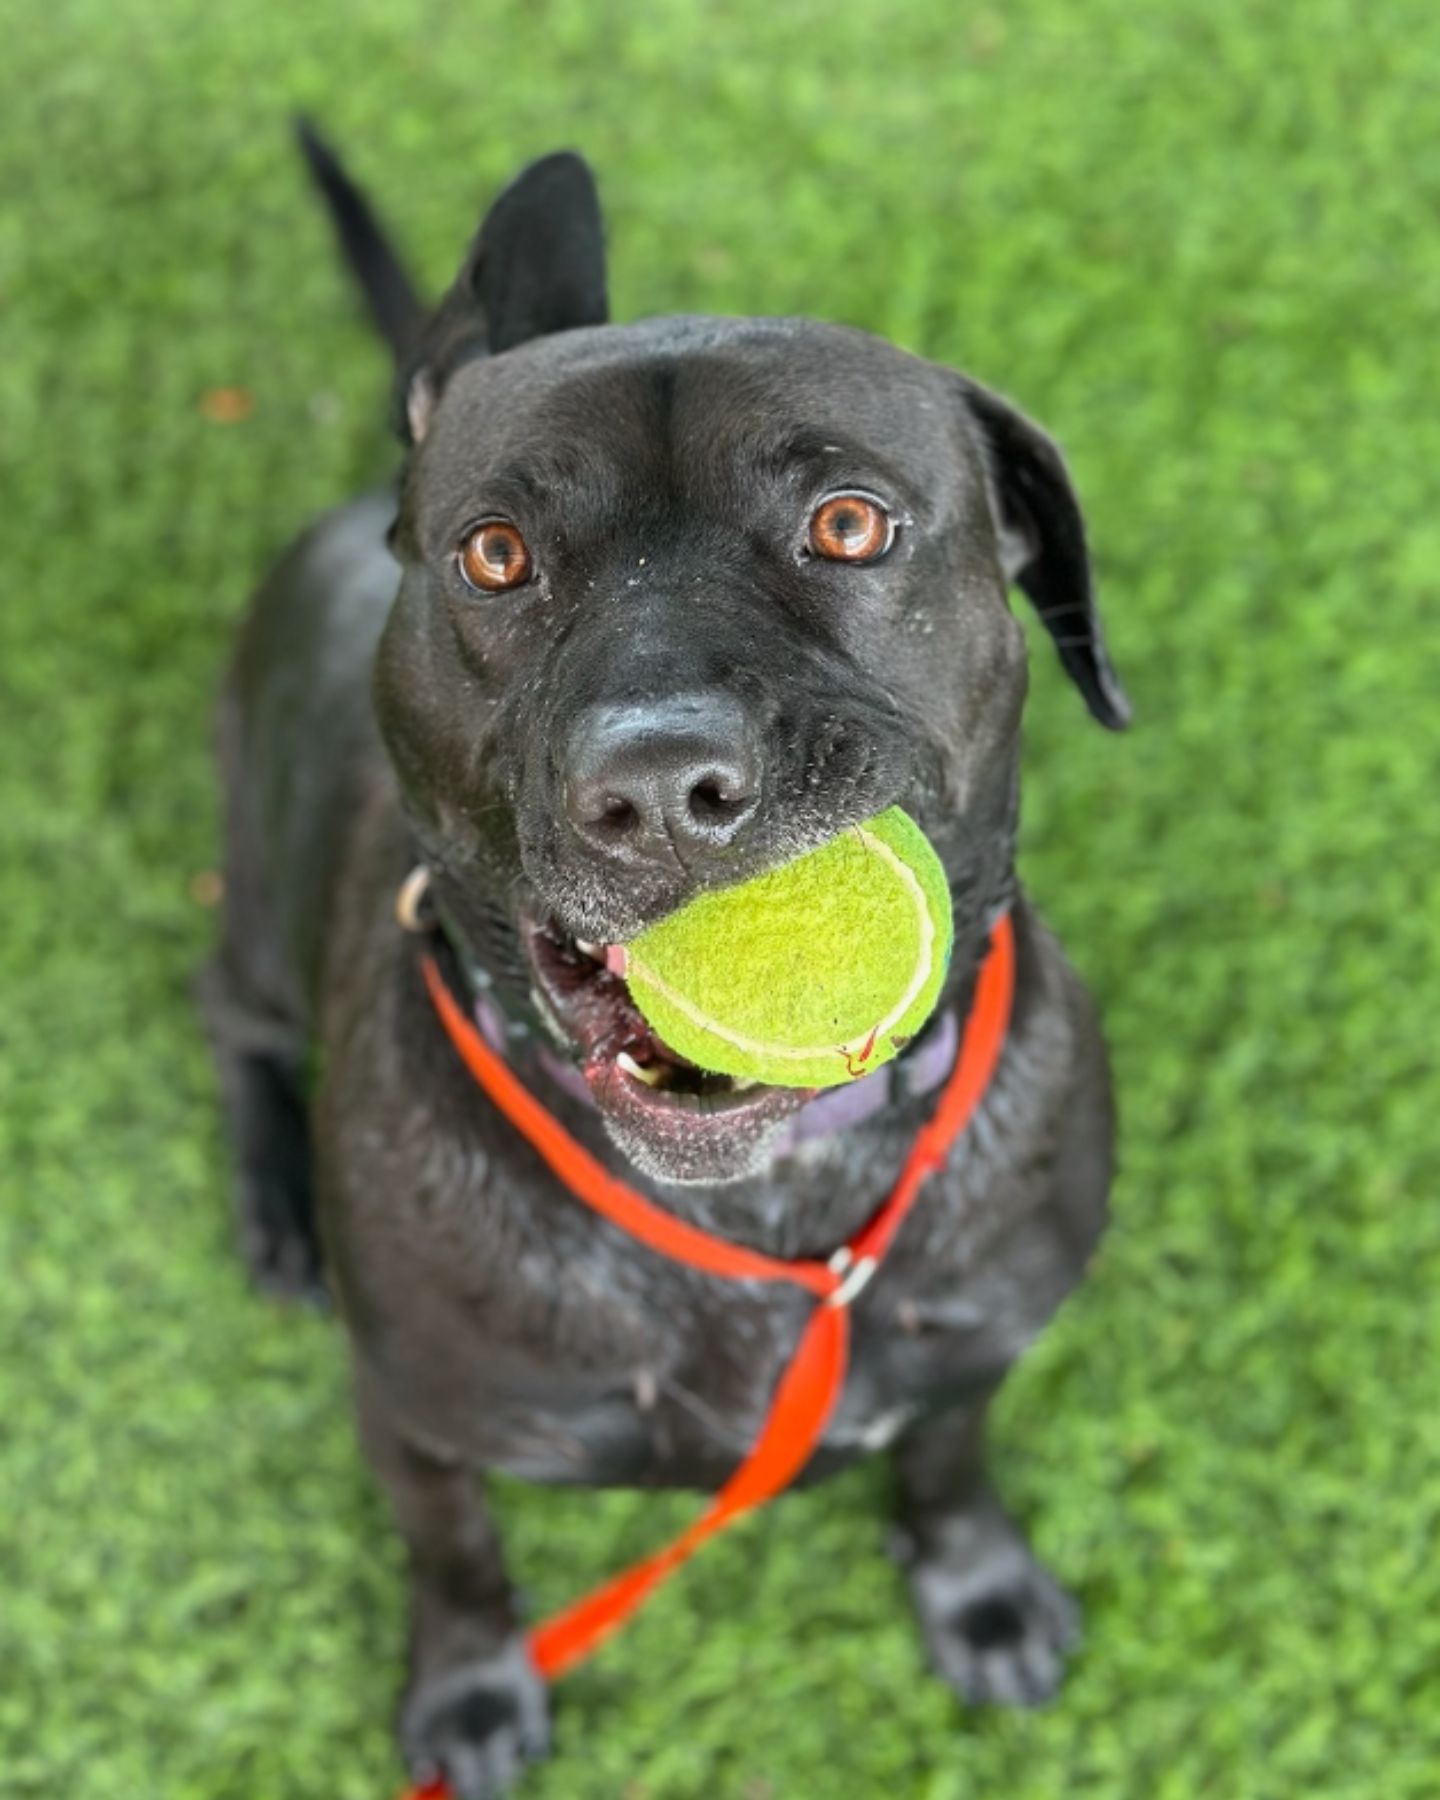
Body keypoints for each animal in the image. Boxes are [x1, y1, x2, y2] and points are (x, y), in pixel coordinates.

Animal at [199, 130, 1123, 1800]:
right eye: (496, 554)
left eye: (850, 524)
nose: (658, 789)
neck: (765, 1203)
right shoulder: (414, 1422)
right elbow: (456, 1558)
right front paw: (470, 1690)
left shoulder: (976, 1343)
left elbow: (948, 1454)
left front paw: (978, 1587)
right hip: (249, 893)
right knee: (228, 1016)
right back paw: (274, 1204)